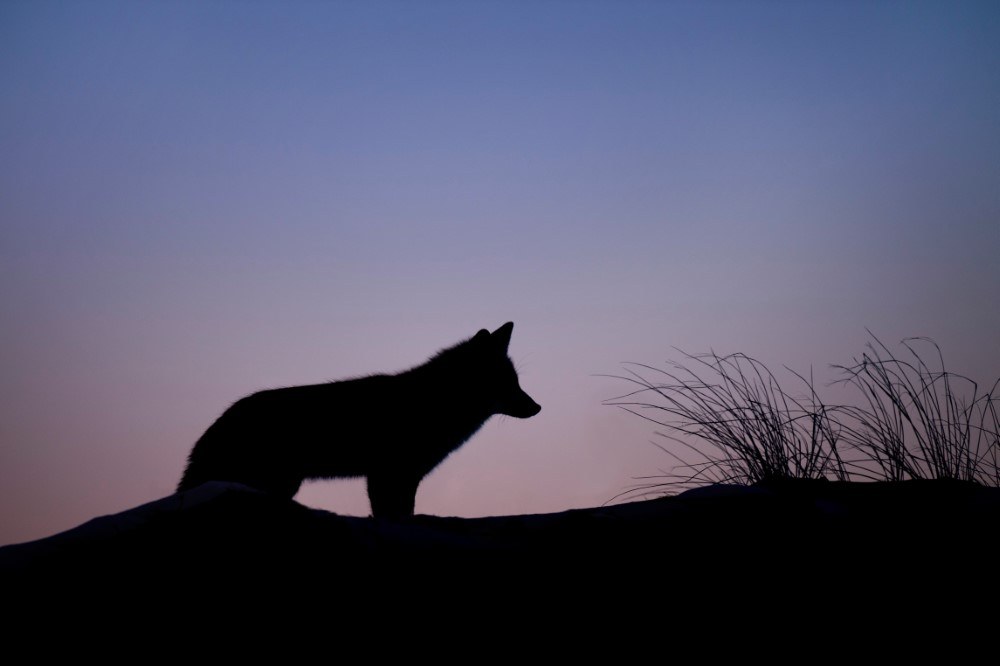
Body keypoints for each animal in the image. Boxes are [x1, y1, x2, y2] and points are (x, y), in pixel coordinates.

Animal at [177, 322, 540, 519]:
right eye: (507, 383)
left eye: (516, 382)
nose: (537, 407)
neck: (433, 403)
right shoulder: (388, 475)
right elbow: (392, 515)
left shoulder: (403, 477)